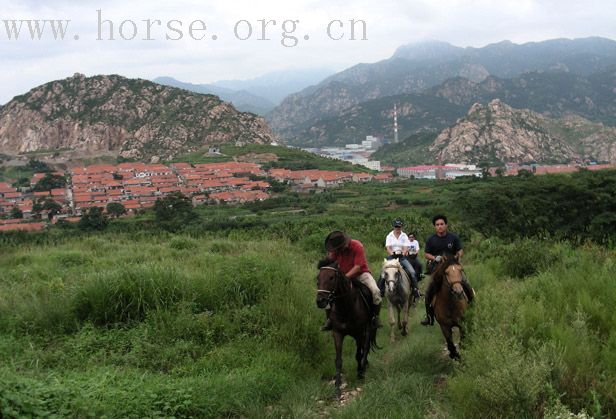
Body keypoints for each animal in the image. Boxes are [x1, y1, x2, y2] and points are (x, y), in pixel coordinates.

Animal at [316, 260, 378, 396]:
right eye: (317, 278)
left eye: (331, 277)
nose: (320, 301)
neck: (345, 306)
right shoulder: (337, 333)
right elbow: (338, 360)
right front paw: (337, 387)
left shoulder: (360, 332)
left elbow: (359, 354)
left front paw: (360, 374)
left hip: (367, 329)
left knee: (365, 348)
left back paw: (363, 369)